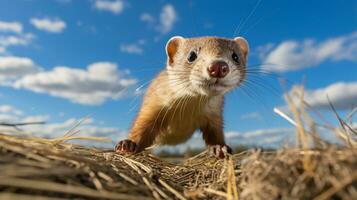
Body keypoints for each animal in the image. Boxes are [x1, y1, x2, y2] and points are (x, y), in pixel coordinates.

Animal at [114, 36, 248, 158]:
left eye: (235, 56)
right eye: (191, 55)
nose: (218, 66)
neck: (186, 113)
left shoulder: (214, 116)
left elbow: (215, 135)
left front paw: (219, 148)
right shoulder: (152, 107)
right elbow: (141, 128)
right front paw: (127, 144)